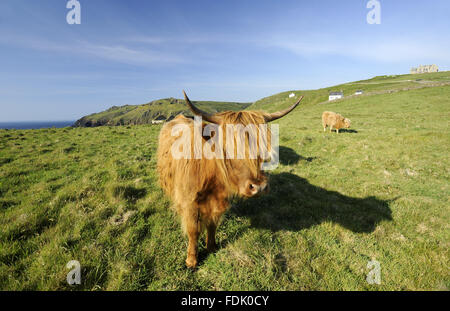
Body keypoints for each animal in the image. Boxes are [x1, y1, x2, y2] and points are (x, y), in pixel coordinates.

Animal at [156, 92, 304, 268]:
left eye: (262, 147)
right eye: (228, 148)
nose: (259, 187)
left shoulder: (218, 200)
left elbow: (212, 224)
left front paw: (212, 247)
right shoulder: (189, 203)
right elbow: (193, 231)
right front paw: (191, 260)